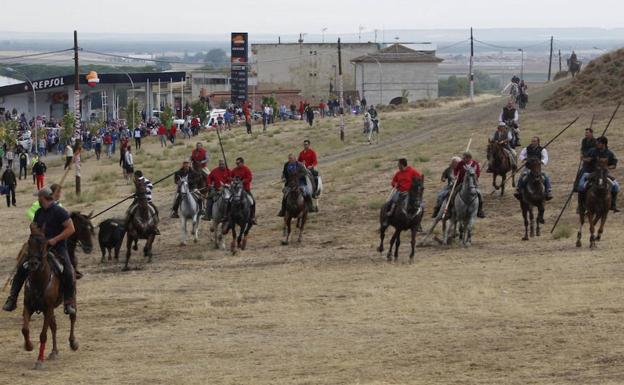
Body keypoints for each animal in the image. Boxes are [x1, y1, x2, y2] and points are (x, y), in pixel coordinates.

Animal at [20, 225, 78, 368]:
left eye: (44, 244)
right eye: (29, 243)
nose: (33, 263)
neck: (39, 282)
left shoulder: (48, 308)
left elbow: (43, 335)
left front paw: (39, 361)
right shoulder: (28, 306)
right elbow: (25, 329)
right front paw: (29, 346)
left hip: (71, 297)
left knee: (72, 318)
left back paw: (73, 342)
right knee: (54, 326)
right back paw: (54, 351)